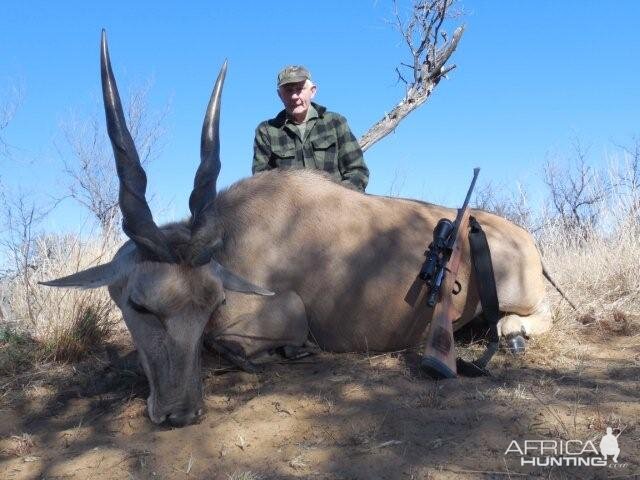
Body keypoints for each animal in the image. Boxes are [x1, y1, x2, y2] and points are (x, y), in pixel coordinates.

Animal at [40, 31, 552, 426]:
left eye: (211, 303)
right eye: (139, 305)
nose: (179, 414)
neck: (234, 237)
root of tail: (526, 241)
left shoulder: (284, 314)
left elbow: (232, 344)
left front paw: (288, 354)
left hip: (519, 298)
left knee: (528, 317)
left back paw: (512, 332)